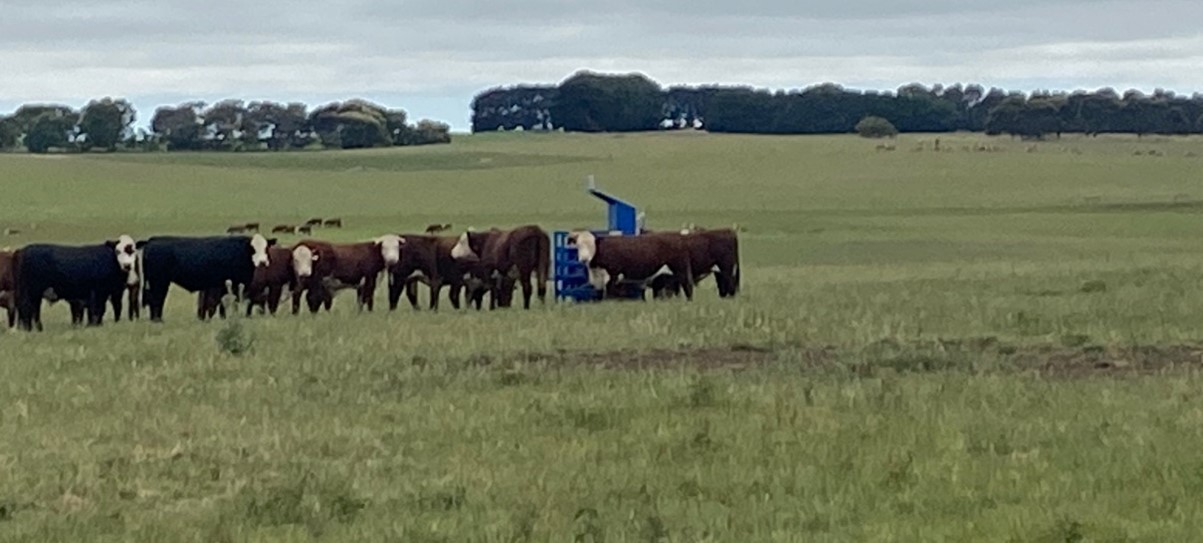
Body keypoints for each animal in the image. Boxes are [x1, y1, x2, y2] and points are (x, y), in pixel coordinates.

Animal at [137, 234, 276, 322]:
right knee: (156, 298)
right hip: (159, 281)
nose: (263, 262)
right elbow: (220, 303)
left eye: (266, 248)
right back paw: (157, 319)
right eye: (253, 249)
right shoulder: (222, 285)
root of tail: (152, 240)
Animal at [566, 230, 694, 301]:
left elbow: (609, 291)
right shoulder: (597, 278)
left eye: (592, 245)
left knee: (687, 286)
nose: (584, 259)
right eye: (578, 245)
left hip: (680, 269)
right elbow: (599, 292)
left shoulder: (613, 274)